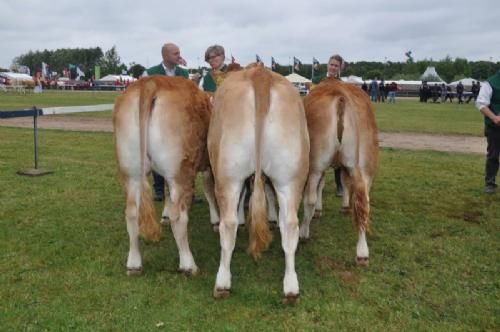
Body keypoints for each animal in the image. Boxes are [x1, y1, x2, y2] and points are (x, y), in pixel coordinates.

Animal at [114, 76, 219, 276]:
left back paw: (134, 264)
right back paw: (188, 265)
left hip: (131, 172)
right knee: (179, 217)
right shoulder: (209, 165)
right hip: (180, 171)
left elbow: (167, 192)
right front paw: (216, 220)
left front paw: (164, 215)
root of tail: (149, 83)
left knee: (131, 213)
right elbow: (210, 191)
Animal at [207, 65, 308, 304]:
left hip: (227, 175)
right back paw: (291, 287)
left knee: (228, 224)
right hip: (291, 177)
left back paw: (222, 282)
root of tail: (260, 74)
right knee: (290, 225)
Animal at [298, 77, 376, 264]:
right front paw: (345, 206)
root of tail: (341, 97)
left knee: (310, 199)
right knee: (364, 202)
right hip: (365, 163)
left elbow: (321, 186)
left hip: (315, 163)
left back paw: (304, 232)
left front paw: (318, 211)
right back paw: (362, 252)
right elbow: (345, 183)